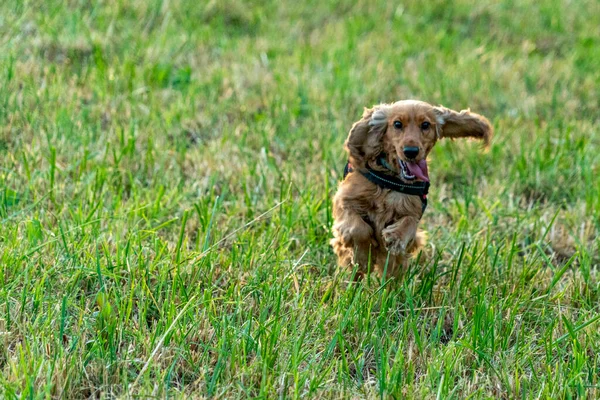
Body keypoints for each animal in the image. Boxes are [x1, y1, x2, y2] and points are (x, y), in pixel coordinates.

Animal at [328, 99, 492, 278]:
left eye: (425, 125)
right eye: (397, 124)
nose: (411, 152)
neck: (393, 180)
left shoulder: (414, 210)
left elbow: (409, 222)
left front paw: (395, 237)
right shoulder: (345, 200)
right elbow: (359, 229)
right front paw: (363, 258)